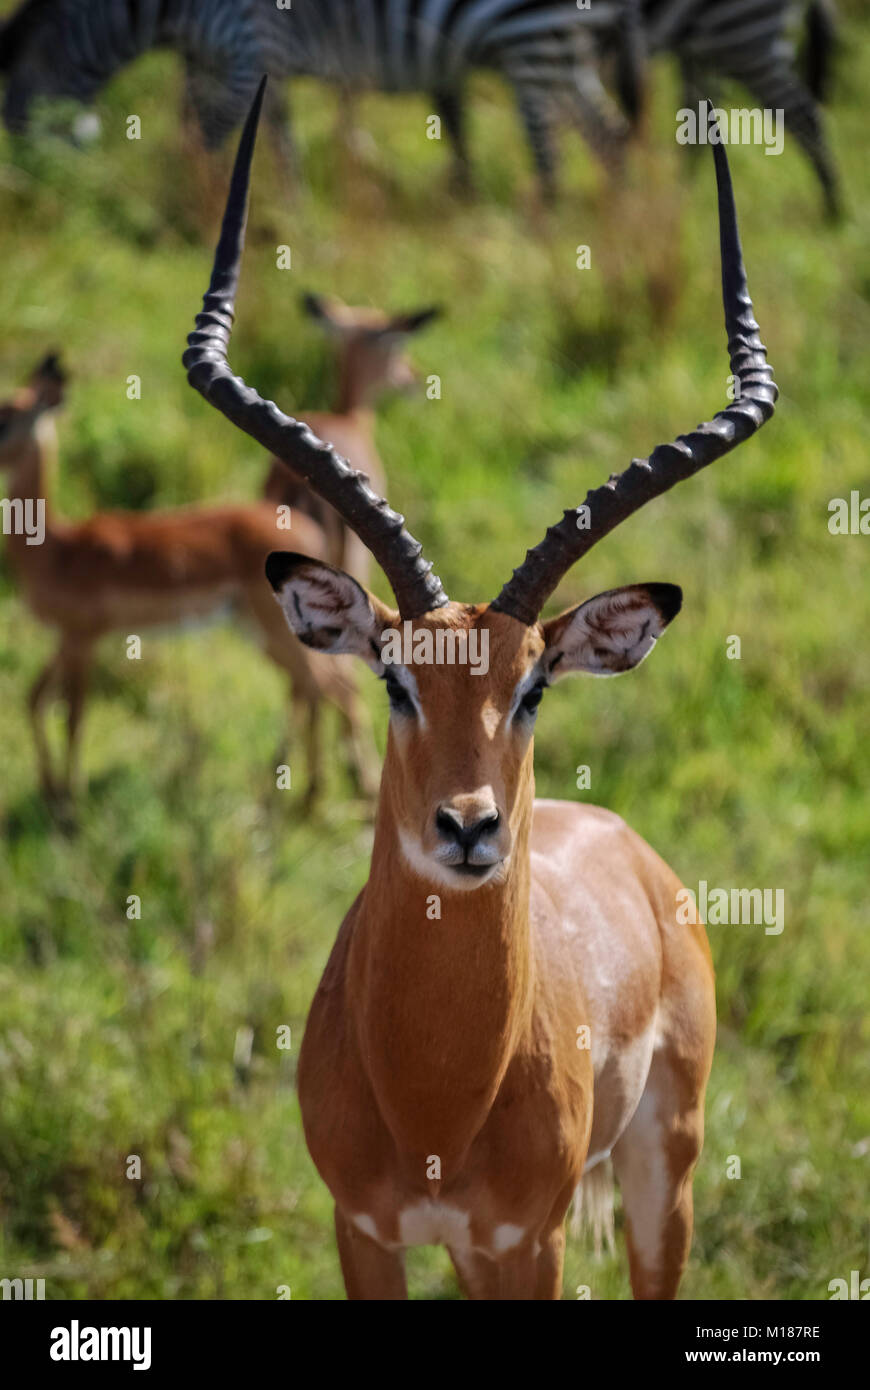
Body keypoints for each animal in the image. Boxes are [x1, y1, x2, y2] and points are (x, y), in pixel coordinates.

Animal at [0, 356, 372, 803]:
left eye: (3, 420)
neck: (56, 550)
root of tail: (305, 528)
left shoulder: (82, 638)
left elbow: (73, 718)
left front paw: (70, 805)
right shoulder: (65, 639)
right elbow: (34, 699)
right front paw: (51, 794)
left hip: (274, 631)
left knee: (333, 686)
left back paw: (332, 793)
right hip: (259, 632)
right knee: (321, 685)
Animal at [185, 82, 776, 1299]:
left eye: (537, 683)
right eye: (395, 677)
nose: (469, 828)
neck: (435, 1102)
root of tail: (629, 844)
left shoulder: (528, 1240)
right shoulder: (365, 1229)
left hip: (666, 1178)